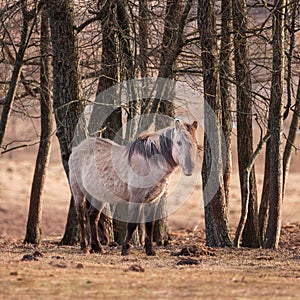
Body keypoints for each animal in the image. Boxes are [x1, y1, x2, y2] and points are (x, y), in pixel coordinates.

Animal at [69, 118, 198, 255]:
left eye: (195, 142)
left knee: (93, 217)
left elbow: (149, 225)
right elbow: (132, 224)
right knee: (82, 217)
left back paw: (97, 247)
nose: (189, 168)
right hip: (78, 192)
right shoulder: (137, 197)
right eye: (179, 142)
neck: (150, 162)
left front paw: (150, 250)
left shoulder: (153, 200)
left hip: (99, 195)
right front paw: (125, 249)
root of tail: (77, 149)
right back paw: (84, 247)